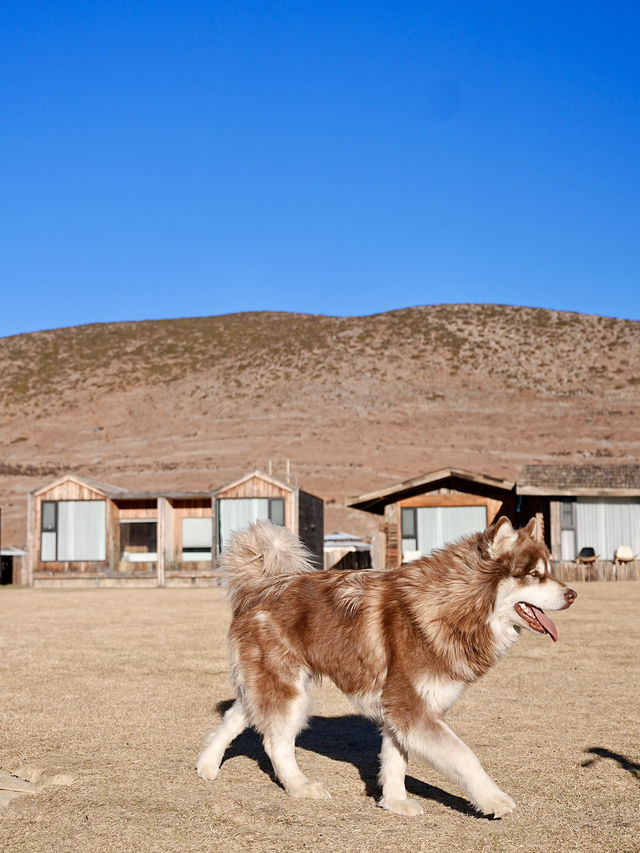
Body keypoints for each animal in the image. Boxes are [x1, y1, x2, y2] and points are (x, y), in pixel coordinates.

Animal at [195, 516, 576, 816]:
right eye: (534, 575)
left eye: (550, 572)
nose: (572, 594)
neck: (453, 607)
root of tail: (259, 586)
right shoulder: (411, 707)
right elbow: (464, 756)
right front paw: (493, 799)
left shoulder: (400, 709)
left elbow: (395, 761)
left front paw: (395, 803)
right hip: (288, 688)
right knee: (275, 742)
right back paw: (300, 786)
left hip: (271, 682)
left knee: (236, 713)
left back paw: (207, 764)